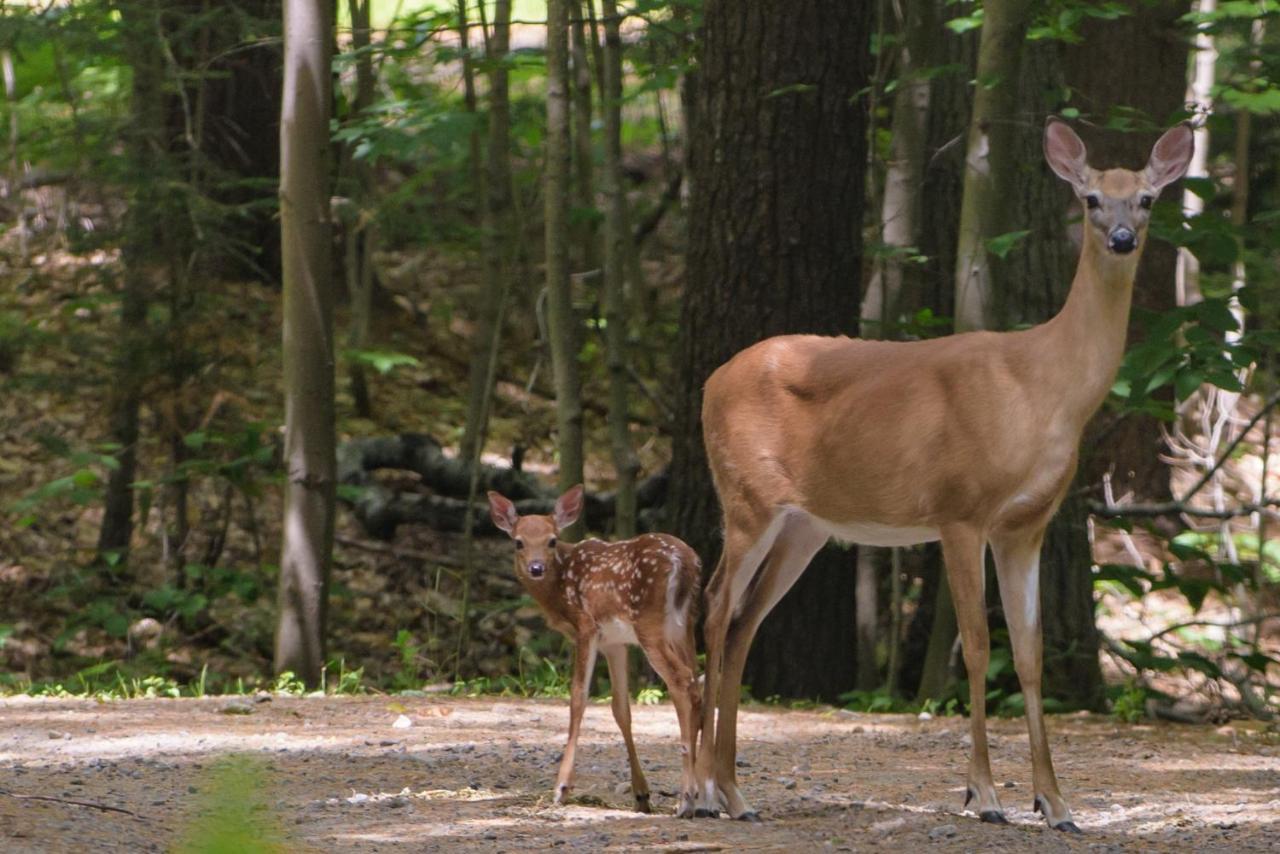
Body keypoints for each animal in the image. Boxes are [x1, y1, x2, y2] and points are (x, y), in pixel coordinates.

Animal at [488, 483, 706, 819]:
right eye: (518, 542)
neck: (559, 593)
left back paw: (686, 800)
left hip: (650, 624)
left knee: (683, 683)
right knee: (699, 682)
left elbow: (578, 698)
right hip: (686, 626)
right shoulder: (614, 642)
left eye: (552, 540)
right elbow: (621, 709)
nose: (536, 568)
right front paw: (641, 794)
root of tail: (685, 562)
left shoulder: (586, 627)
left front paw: (562, 788)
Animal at [696, 118, 1192, 829]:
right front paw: (983, 795)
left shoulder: (1026, 525)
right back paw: (700, 792)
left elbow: (1029, 653)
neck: (1045, 390)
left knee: (742, 623)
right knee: (713, 608)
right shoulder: (961, 508)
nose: (1122, 238)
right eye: (1092, 198)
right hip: (745, 498)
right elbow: (978, 646)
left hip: (803, 526)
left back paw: (735, 794)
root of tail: (709, 384)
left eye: (1147, 198)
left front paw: (1055, 802)